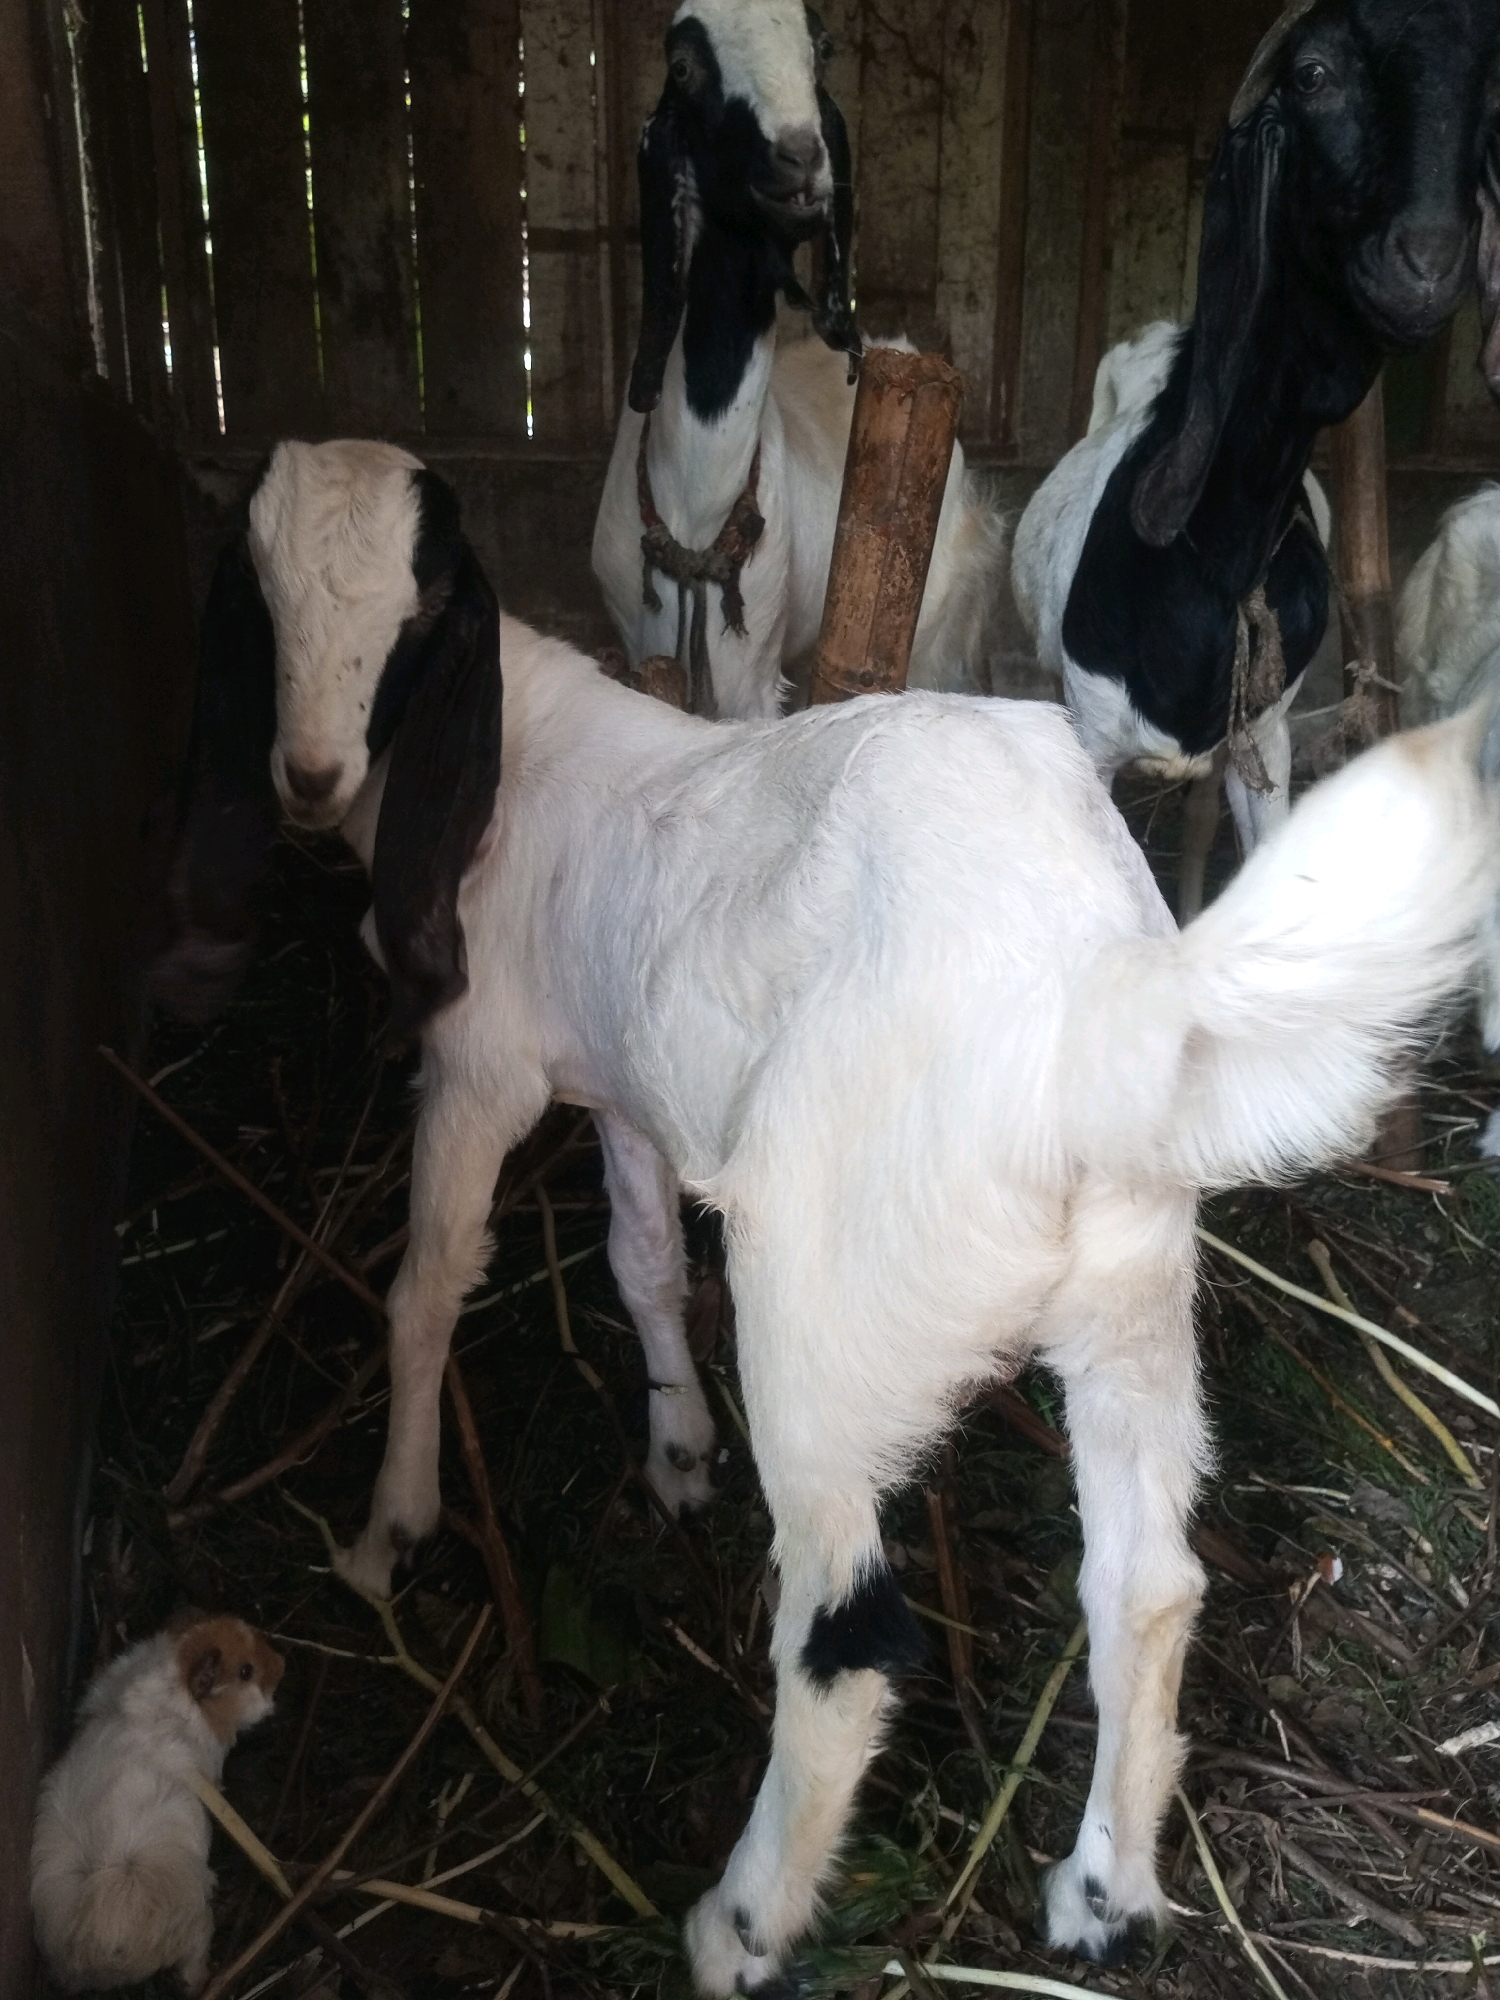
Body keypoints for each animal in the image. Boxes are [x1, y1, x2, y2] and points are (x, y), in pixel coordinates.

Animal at [162, 437, 1500, 1995]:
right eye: (258, 594)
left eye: (422, 610)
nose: (309, 776)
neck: (506, 750)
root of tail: (1083, 1000)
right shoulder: (628, 1080)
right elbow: (637, 1261)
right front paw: (676, 1450)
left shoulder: (483, 1068)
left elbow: (429, 1284)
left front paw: (390, 1529)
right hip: (1132, 1291)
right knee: (1149, 1584)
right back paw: (1101, 1893)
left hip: (816, 1306)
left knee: (850, 1638)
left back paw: (739, 1924)